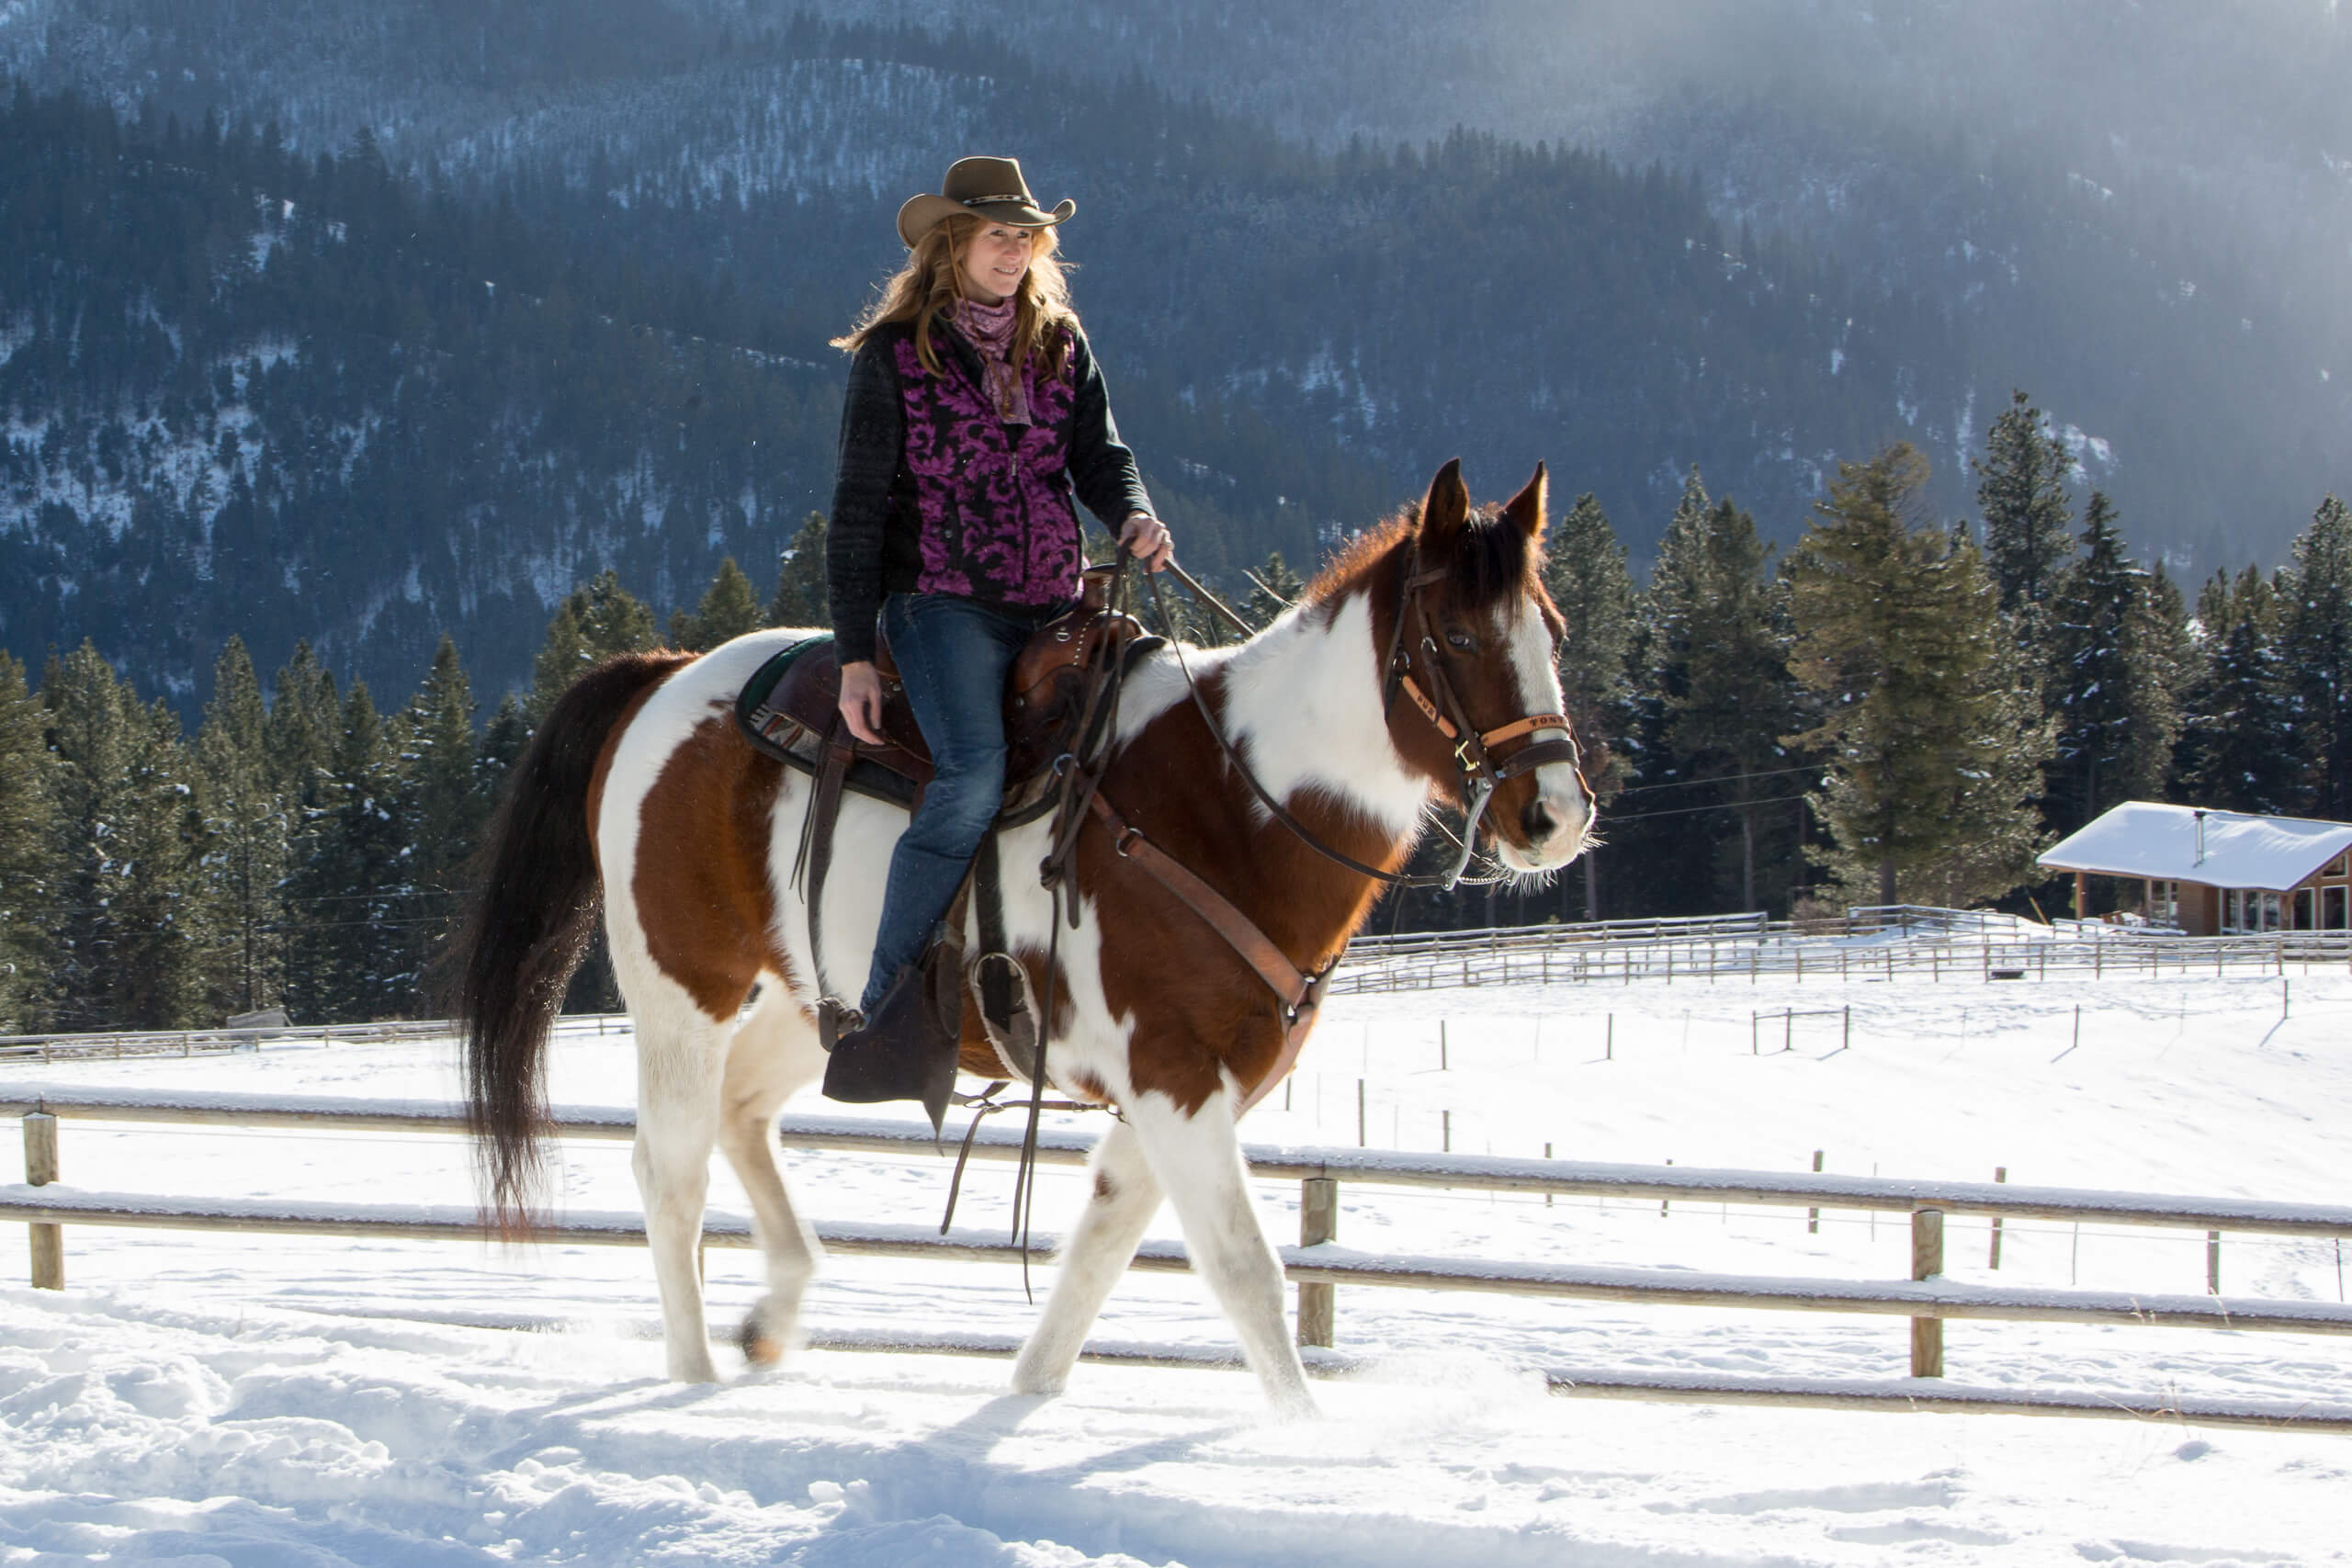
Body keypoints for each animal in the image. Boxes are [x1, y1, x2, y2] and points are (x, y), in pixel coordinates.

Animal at [454, 460, 1599, 1419]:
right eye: (1457, 639)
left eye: (1551, 629)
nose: (1551, 813)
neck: (1231, 805)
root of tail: (665, 676)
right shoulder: (1174, 1079)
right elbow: (1242, 1271)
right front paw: (1308, 1436)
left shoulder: (1180, 1088)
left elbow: (1099, 1242)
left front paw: (1025, 1396)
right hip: (680, 992)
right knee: (672, 1170)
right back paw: (690, 1376)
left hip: (809, 998)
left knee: (742, 1117)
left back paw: (774, 1314)